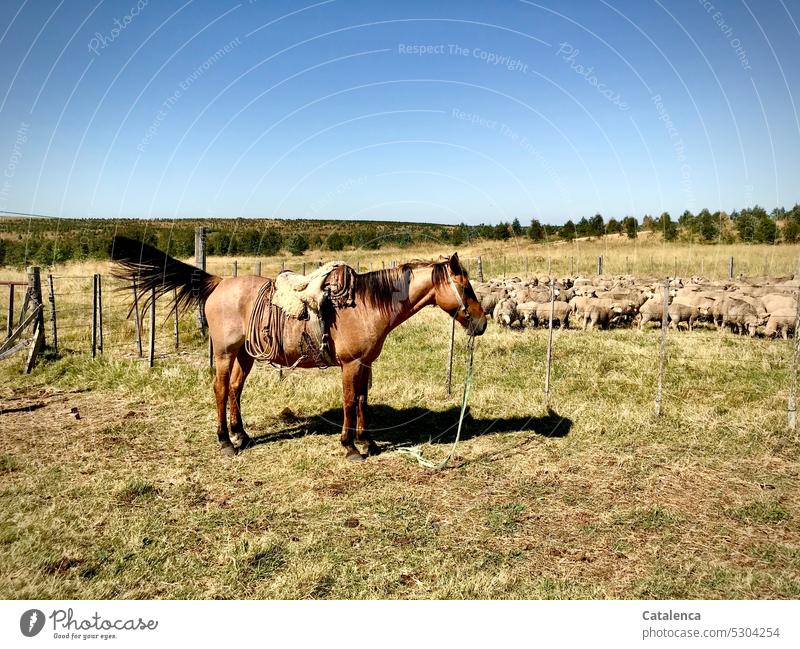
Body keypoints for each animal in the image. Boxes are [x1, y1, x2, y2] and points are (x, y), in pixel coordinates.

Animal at [111, 238, 488, 460]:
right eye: (466, 287)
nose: (482, 323)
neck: (368, 304)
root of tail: (217, 283)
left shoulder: (365, 364)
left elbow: (362, 401)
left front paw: (369, 443)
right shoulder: (351, 364)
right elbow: (349, 402)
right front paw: (350, 447)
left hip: (245, 355)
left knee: (234, 389)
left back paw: (242, 435)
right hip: (224, 353)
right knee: (220, 389)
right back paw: (225, 442)